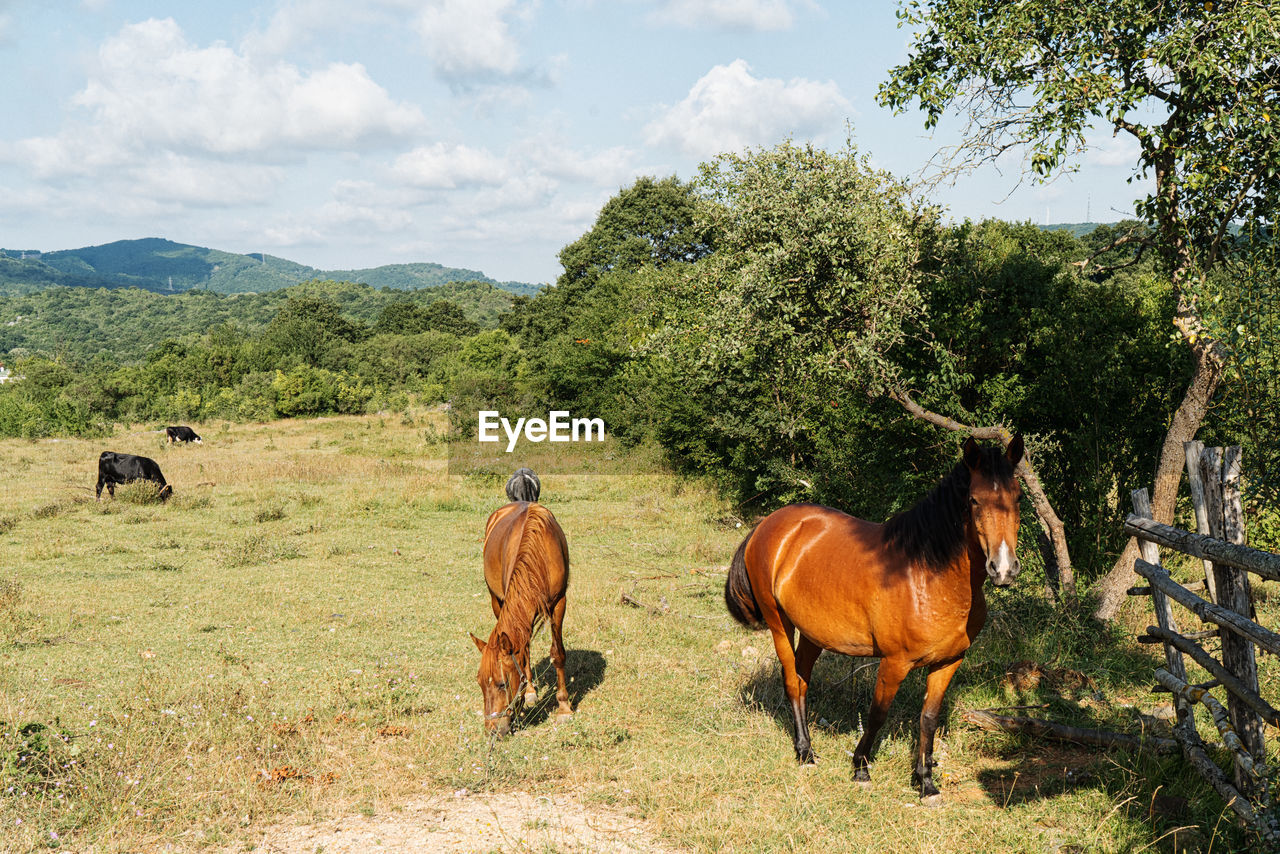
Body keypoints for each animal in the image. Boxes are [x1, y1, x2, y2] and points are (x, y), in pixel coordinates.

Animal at [471, 501, 570, 737]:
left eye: (502, 684)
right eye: (480, 683)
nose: (492, 730)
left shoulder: (559, 603)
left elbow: (558, 654)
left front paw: (564, 708)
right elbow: (523, 652)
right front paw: (528, 694)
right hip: (496, 600)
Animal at [727, 437, 1024, 804]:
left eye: (1018, 497)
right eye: (973, 500)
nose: (1003, 568)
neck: (926, 574)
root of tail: (768, 524)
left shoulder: (948, 662)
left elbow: (928, 718)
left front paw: (925, 783)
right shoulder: (894, 662)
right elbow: (878, 713)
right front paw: (861, 769)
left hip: (813, 634)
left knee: (801, 679)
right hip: (778, 623)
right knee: (792, 682)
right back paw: (805, 753)